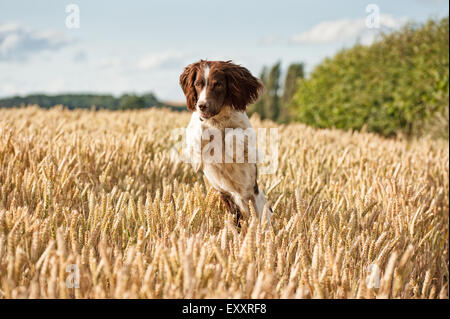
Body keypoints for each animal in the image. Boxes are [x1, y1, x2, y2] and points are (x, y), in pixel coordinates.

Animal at [178, 60, 270, 225]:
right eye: (197, 84)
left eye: (218, 84)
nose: (202, 105)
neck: (217, 120)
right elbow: (198, 131)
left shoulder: (249, 143)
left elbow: (234, 135)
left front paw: (232, 147)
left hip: (260, 206)